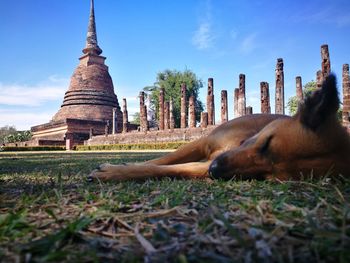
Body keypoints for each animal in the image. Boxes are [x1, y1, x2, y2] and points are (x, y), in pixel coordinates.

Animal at [89, 74, 350, 182]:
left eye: (266, 177)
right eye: (266, 144)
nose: (216, 169)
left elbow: (167, 169)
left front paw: (114, 172)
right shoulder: (203, 141)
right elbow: (161, 160)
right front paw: (116, 166)